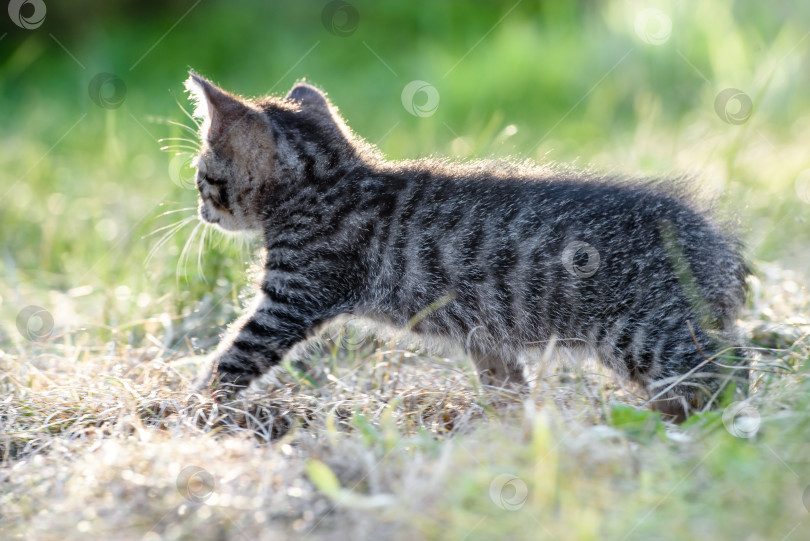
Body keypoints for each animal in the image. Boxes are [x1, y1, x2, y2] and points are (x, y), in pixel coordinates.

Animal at [181, 71, 744, 420]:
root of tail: (715, 243)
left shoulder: (291, 298)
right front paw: (509, 429)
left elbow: (233, 357)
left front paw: (187, 410)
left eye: (202, 176)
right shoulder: (485, 336)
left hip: (650, 332)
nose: (201, 210)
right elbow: (505, 383)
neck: (330, 181)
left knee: (729, 370)